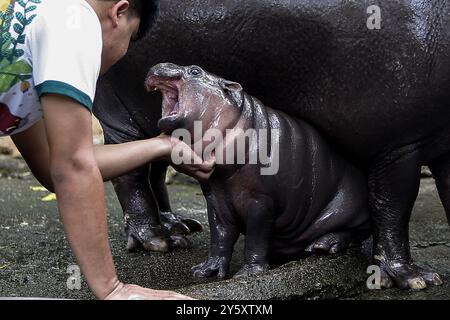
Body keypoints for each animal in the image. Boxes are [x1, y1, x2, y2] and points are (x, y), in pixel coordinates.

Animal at [93, 0, 448, 290]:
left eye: (194, 69)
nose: (160, 65)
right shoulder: (399, 143)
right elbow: (392, 209)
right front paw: (414, 279)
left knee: (152, 168)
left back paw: (180, 225)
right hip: (121, 114)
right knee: (131, 176)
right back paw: (160, 241)